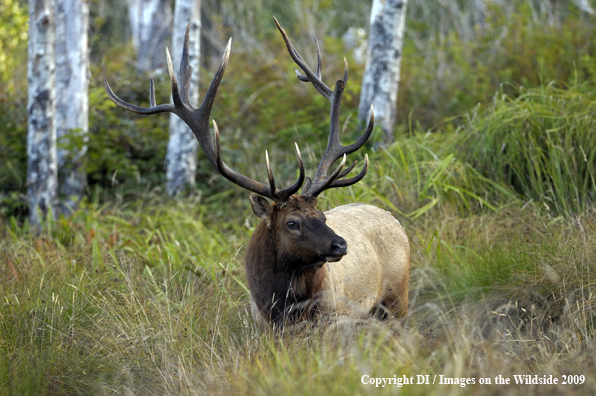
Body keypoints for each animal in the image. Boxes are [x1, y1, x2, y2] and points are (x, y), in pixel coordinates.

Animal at [105, 18, 410, 328]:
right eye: (292, 222)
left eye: (323, 216)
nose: (340, 245)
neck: (283, 309)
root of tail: (394, 220)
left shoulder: (330, 320)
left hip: (397, 299)